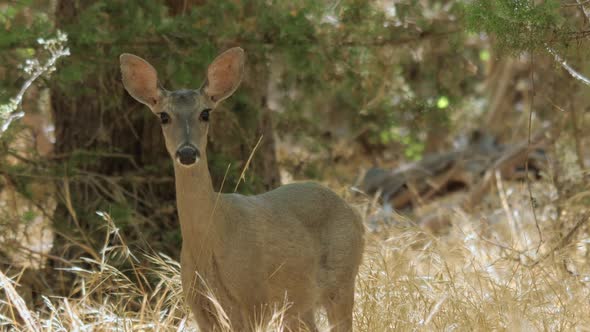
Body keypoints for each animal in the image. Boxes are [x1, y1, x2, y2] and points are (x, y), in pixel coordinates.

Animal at [120, 47, 366, 332]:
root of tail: (354, 213)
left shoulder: (253, 299)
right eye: (164, 116)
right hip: (298, 303)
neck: (209, 242)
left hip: (342, 278)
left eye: (205, 113)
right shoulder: (199, 306)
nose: (187, 152)